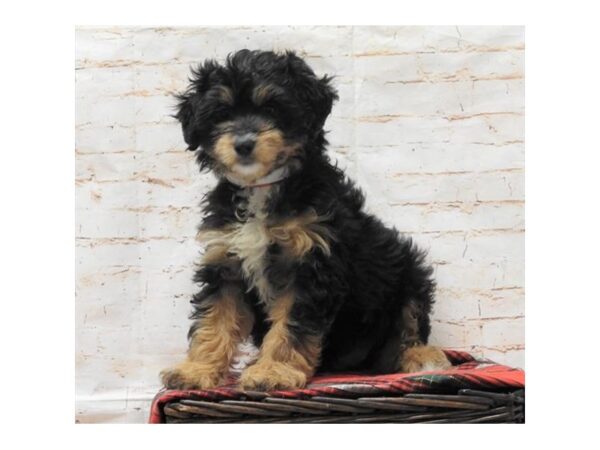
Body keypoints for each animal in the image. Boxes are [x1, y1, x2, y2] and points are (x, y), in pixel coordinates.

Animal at [161, 49, 450, 390]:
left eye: (272, 107)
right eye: (221, 114)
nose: (243, 144)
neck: (263, 188)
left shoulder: (311, 265)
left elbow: (292, 323)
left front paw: (273, 371)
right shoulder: (225, 263)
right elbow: (215, 317)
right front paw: (197, 370)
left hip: (407, 272)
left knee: (409, 323)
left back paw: (421, 357)